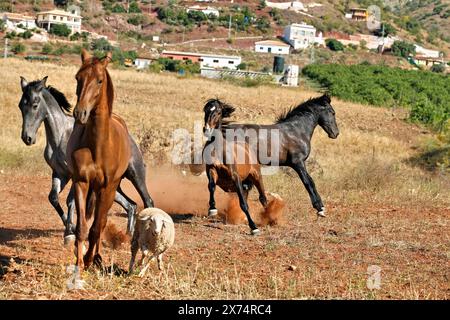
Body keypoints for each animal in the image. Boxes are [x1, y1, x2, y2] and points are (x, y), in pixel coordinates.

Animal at [18, 76, 155, 241]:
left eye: (35, 105)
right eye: (21, 105)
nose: (27, 138)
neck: (61, 136)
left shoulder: (75, 175)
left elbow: (70, 201)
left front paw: (70, 232)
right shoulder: (60, 173)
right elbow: (54, 198)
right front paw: (70, 229)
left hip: (136, 175)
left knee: (147, 200)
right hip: (111, 185)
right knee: (131, 205)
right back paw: (127, 236)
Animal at [66, 49, 134, 280]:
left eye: (99, 80)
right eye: (78, 78)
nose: (80, 113)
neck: (98, 145)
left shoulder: (107, 187)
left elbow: (96, 228)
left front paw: (88, 260)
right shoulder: (81, 183)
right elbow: (82, 227)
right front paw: (79, 262)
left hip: (110, 191)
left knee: (101, 222)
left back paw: (96, 257)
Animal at [203, 93, 338, 218]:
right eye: (332, 112)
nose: (335, 133)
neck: (297, 131)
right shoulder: (298, 163)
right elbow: (309, 182)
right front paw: (320, 208)